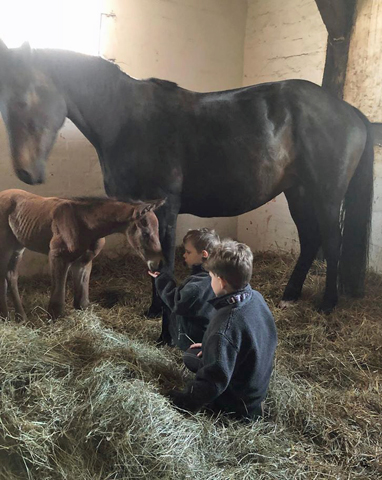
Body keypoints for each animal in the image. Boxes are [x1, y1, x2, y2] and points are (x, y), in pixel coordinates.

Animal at [0, 189, 163, 320]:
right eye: (146, 233)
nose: (157, 264)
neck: (85, 223)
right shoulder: (57, 256)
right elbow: (58, 300)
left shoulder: (84, 261)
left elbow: (82, 301)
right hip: (5, 247)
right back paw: (6, 316)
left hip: (18, 247)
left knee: (11, 275)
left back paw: (20, 317)